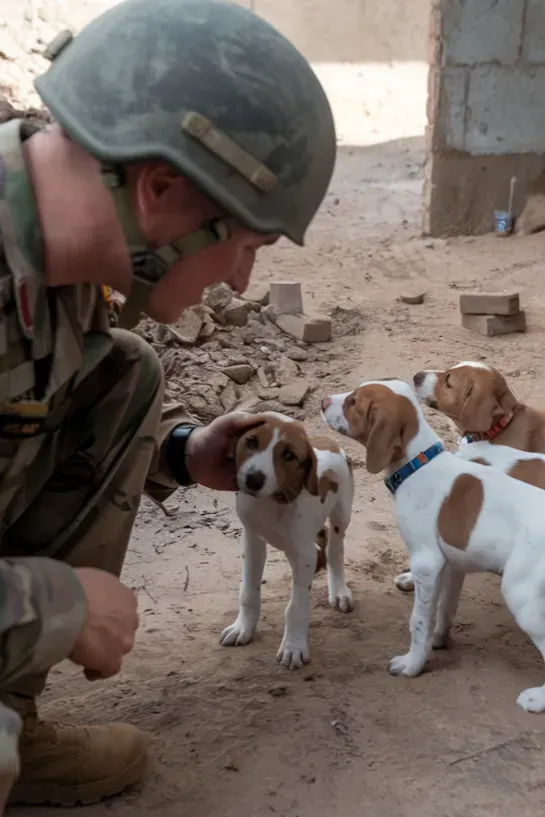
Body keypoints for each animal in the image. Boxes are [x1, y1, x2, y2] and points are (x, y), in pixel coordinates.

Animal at [220, 412, 352, 668]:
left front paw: (294, 646)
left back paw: (339, 590)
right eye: (251, 441)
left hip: (342, 514)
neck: (273, 503)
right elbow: (248, 592)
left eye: (289, 455)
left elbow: (296, 607)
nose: (253, 479)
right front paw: (243, 627)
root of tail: (328, 441)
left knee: (335, 549)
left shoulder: (303, 556)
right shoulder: (252, 541)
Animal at [324, 380, 545, 712]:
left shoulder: (426, 563)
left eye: (353, 401)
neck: (417, 466)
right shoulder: (450, 563)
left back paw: (537, 698)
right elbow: (441, 609)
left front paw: (412, 664)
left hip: (521, 593)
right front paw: (436, 642)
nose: (323, 401)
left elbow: (418, 619)